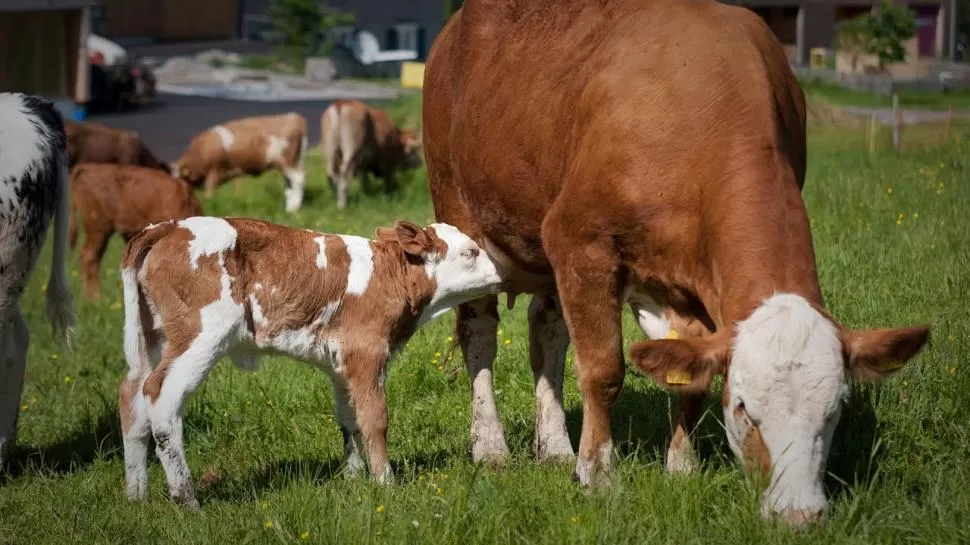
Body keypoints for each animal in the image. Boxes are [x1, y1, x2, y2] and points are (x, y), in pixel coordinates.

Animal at [117, 214, 502, 506]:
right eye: (470, 252)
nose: (502, 272)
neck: (389, 277)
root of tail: (168, 227)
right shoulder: (366, 353)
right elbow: (375, 419)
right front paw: (385, 482)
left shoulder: (340, 363)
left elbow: (349, 420)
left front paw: (353, 478)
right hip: (200, 336)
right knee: (160, 397)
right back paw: (187, 498)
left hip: (153, 338)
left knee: (131, 395)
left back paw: (137, 496)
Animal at [168, 112, 308, 212]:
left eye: (180, 178)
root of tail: (294, 117)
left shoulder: (214, 171)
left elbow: (209, 191)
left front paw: (209, 203)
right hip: (294, 161)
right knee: (290, 183)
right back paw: (289, 207)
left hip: (287, 161)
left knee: (298, 179)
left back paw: (293, 209)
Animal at [426, 0, 932, 528]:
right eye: (743, 409)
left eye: (834, 410)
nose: (798, 515)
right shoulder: (580, 240)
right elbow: (603, 371)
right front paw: (599, 477)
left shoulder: (689, 284)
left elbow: (691, 381)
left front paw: (682, 470)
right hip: (461, 211)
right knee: (479, 331)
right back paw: (491, 447)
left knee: (547, 329)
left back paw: (556, 447)